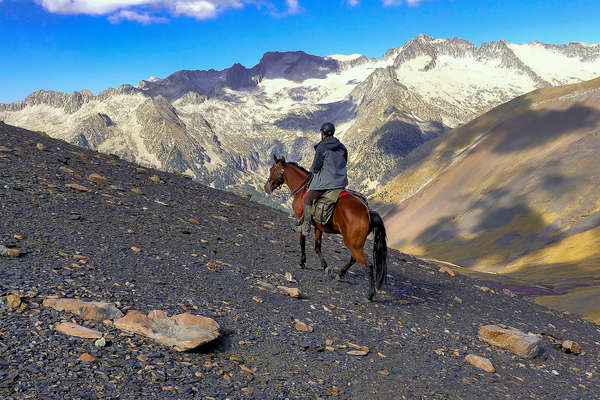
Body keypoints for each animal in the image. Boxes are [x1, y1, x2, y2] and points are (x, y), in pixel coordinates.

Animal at [264, 154, 390, 300]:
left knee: (368, 265)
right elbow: (317, 247)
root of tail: (368, 212)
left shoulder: (303, 222)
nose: (266, 187)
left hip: (353, 243)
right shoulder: (318, 227)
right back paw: (340, 274)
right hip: (356, 243)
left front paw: (302, 262)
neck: (303, 190)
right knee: (354, 259)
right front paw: (325, 267)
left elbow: (302, 241)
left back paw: (370, 294)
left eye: (272, 169)